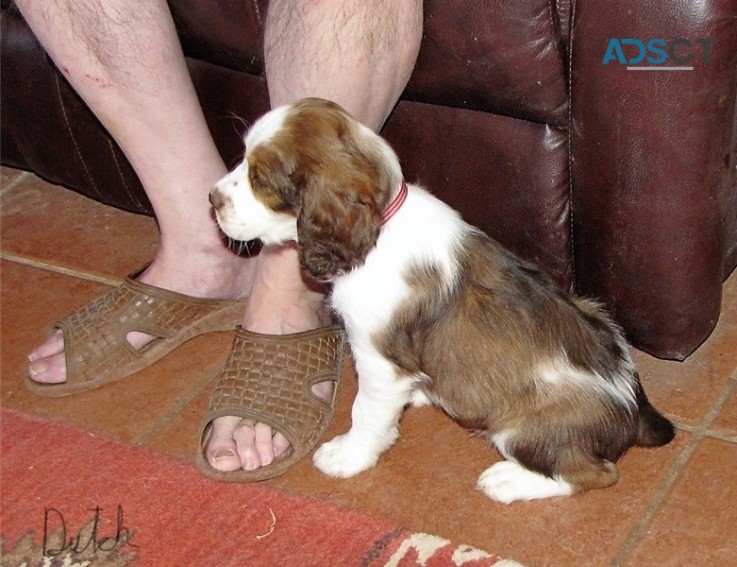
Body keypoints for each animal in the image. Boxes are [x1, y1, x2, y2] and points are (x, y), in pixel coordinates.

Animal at [207, 98, 672, 506]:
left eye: (261, 179)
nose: (212, 199)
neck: (381, 228)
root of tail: (632, 408)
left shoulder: (378, 359)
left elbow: (365, 412)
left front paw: (349, 455)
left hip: (523, 430)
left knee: (593, 474)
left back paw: (509, 481)